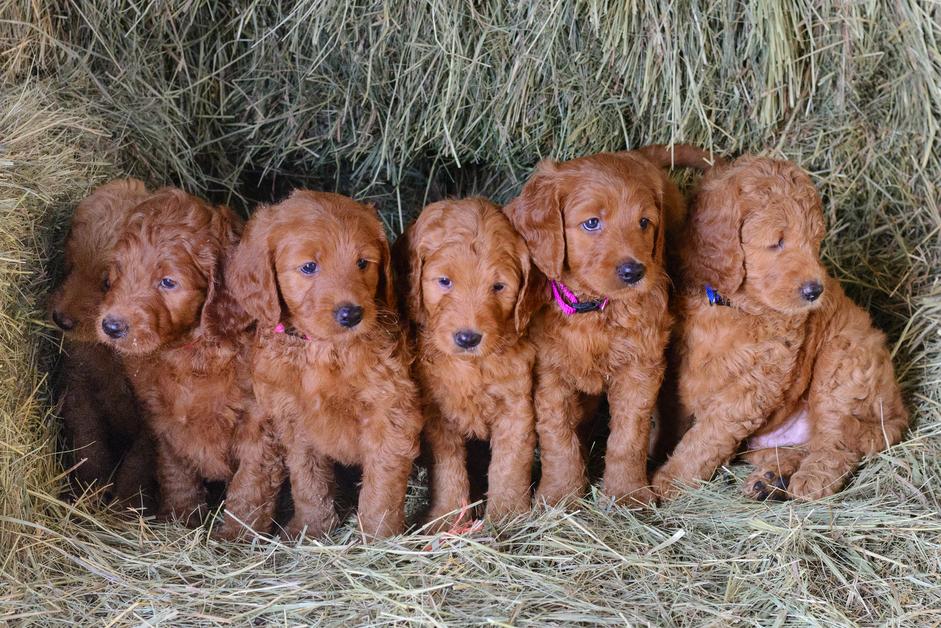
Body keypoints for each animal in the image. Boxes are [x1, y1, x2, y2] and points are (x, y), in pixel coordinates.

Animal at [228, 189, 422, 536]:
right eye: (308, 267)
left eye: (363, 263)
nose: (351, 314)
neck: (321, 351)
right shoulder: (294, 420)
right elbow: (308, 481)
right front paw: (310, 528)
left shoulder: (390, 411)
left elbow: (381, 485)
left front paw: (378, 537)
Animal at [500, 144, 712, 506]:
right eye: (591, 223)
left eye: (644, 222)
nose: (634, 272)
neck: (595, 310)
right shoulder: (549, 373)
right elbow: (558, 436)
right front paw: (560, 494)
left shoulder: (640, 366)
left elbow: (628, 437)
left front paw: (627, 494)